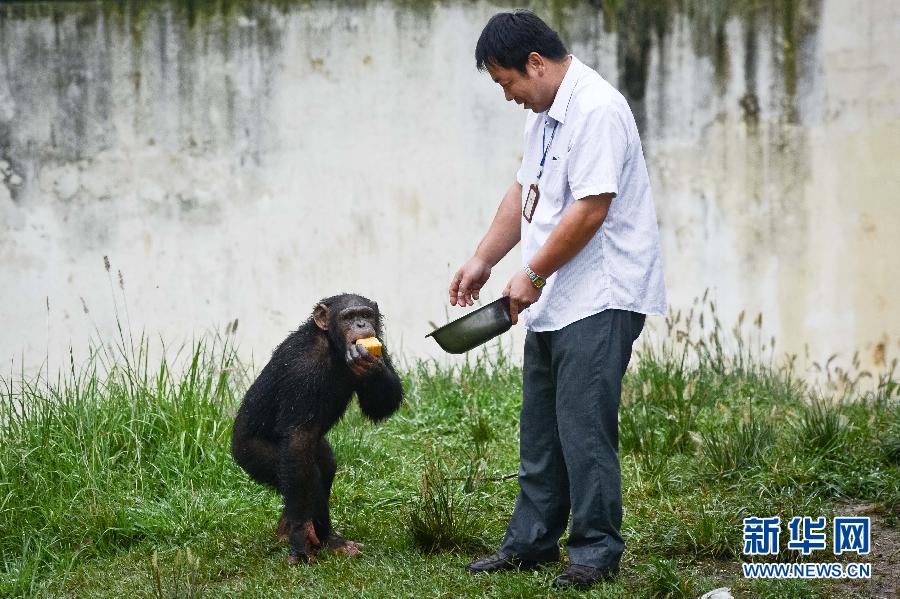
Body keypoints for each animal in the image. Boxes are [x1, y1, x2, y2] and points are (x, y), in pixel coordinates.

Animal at [230, 292, 402, 564]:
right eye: (348, 317)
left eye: (365, 314)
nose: (361, 325)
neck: (331, 345)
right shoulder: (304, 368)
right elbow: (298, 437)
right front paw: (300, 539)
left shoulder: (380, 345)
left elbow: (381, 405)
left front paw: (371, 366)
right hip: (252, 453)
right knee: (305, 471)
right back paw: (302, 532)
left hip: (317, 448)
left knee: (325, 466)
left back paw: (327, 539)